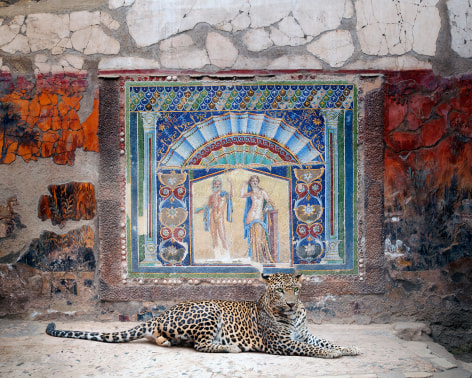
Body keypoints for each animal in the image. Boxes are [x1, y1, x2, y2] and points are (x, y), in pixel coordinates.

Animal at [46, 274, 360, 358]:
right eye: (280, 291)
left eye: (295, 289)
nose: (293, 304)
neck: (292, 317)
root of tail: (165, 311)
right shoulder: (281, 343)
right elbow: (311, 348)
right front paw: (333, 354)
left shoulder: (304, 333)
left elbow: (324, 341)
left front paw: (349, 347)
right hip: (211, 310)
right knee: (201, 344)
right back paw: (230, 347)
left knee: (167, 338)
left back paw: (165, 341)